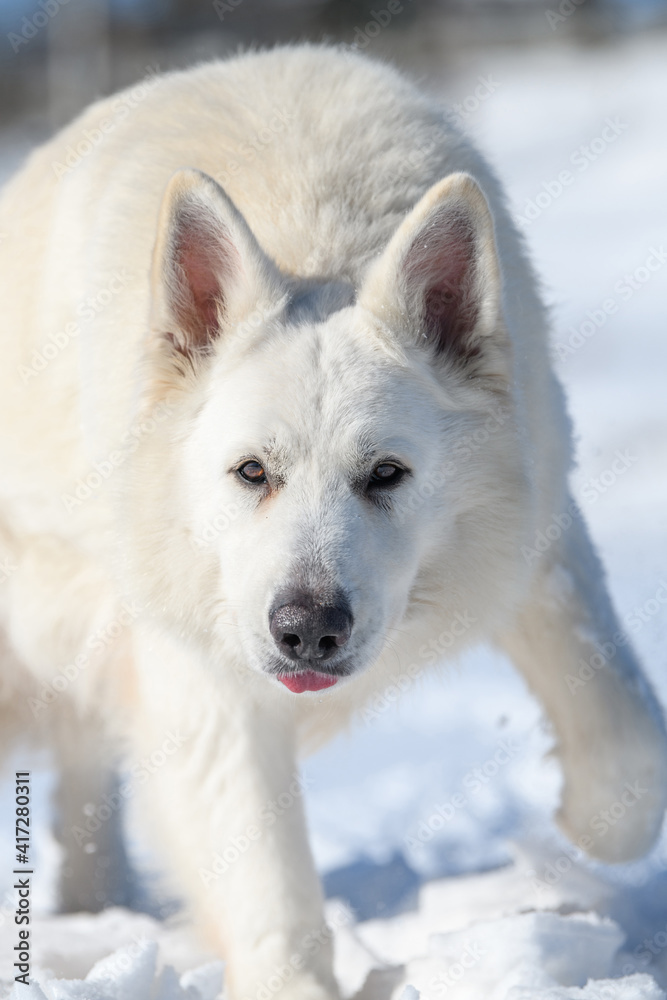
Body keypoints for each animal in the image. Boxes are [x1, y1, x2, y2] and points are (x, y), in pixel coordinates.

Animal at [1, 45, 667, 1000]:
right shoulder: (200, 670)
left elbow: (628, 750)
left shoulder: (536, 540)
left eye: (385, 474)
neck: (311, 230)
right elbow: (265, 877)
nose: (307, 630)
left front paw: (585, 824)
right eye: (251, 472)